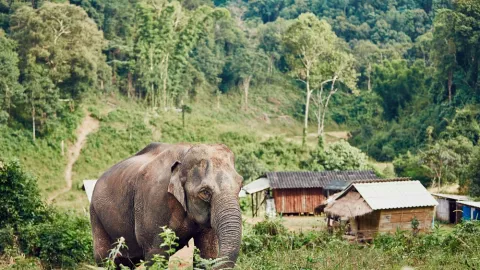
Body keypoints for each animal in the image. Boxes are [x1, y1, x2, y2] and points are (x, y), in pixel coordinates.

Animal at [89, 142, 242, 268]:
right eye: (205, 192)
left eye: (241, 186)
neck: (186, 151)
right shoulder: (155, 200)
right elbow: (156, 254)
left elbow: (207, 252)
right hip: (95, 215)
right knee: (104, 258)